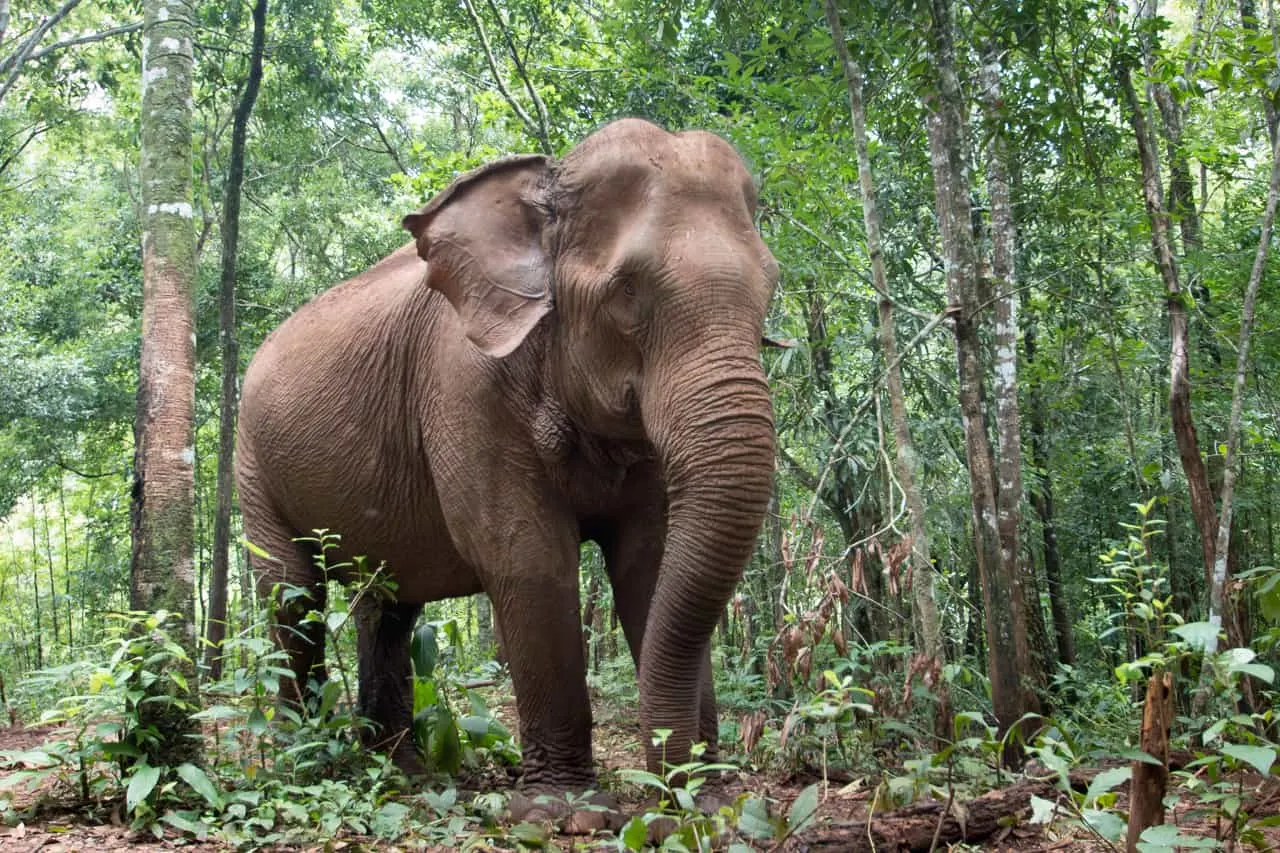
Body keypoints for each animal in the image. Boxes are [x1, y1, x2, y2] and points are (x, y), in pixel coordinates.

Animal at [235, 118, 778, 811]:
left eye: (771, 285)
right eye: (627, 290)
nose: (667, 795)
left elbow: (651, 563)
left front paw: (710, 804)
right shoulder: (462, 386)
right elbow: (528, 556)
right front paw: (567, 813)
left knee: (387, 608)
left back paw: (404, 772)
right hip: (253, 462)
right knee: (292, 595)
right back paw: (303, 763)